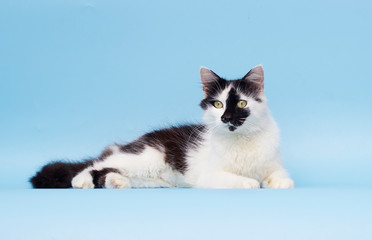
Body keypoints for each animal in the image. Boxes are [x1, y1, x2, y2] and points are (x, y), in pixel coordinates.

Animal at [29, 64, 294, 188]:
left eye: (241, 103)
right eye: (218, 104)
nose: (226, 118)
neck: (242, 140)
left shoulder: (272, 163)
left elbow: (279, 174)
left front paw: (281, 182)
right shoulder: (210, 175)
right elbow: (236, 179)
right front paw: (250, 182)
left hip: (152, 176)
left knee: (110, 172)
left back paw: (117, 183)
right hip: (142, 158)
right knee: (94, 165)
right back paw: (81, 181)